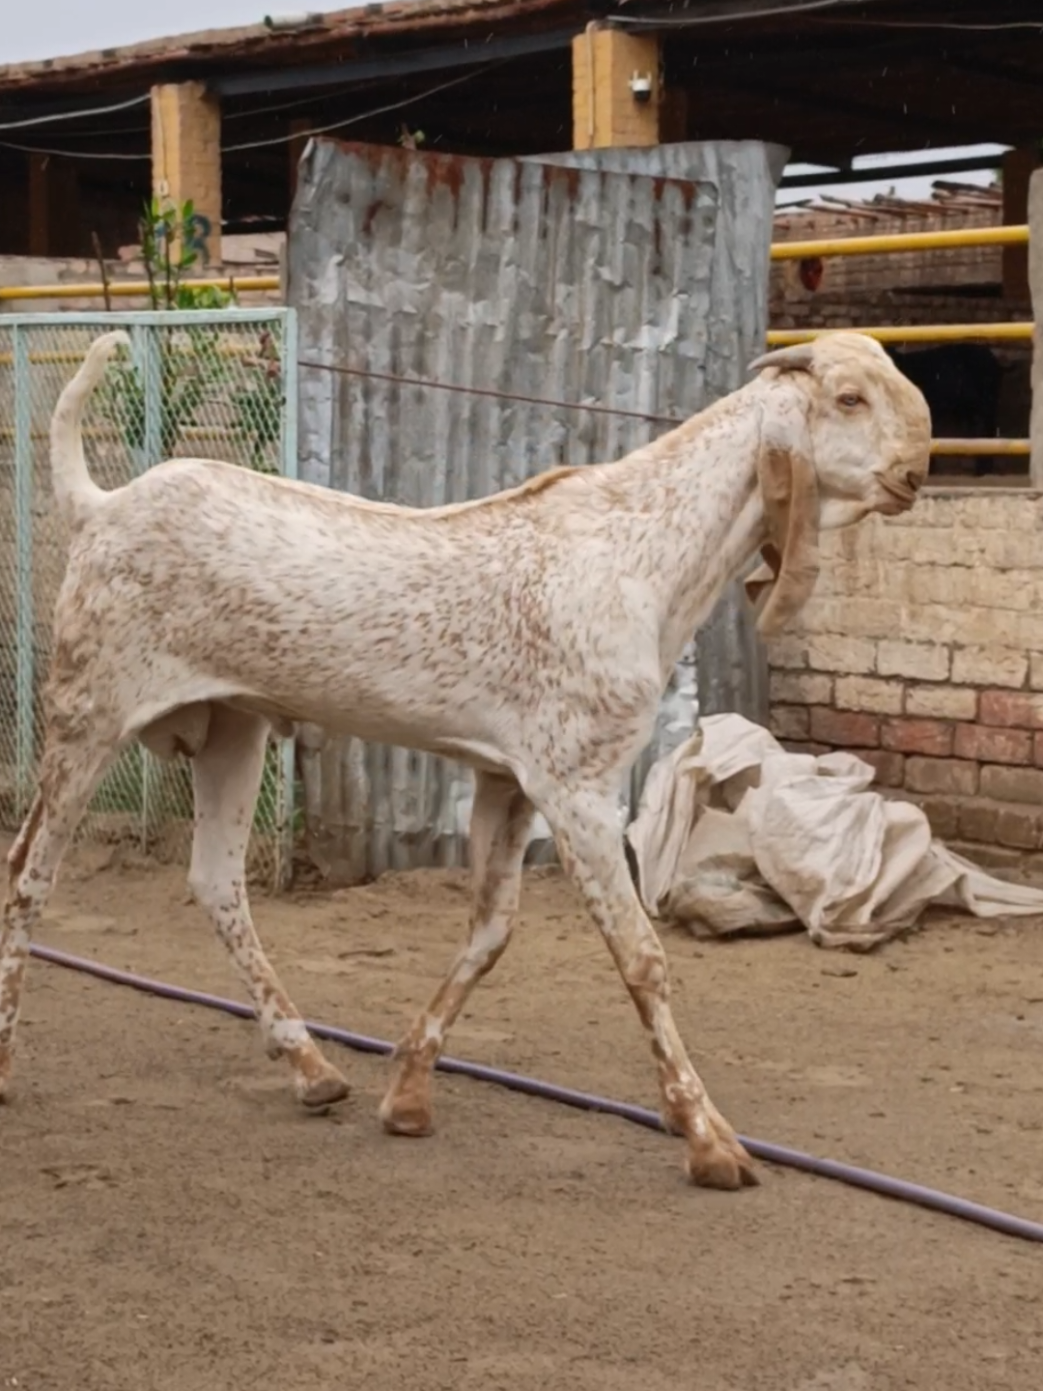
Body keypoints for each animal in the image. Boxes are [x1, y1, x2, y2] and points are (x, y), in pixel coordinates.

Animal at [0, 329, 929, 1191]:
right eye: (848, 398)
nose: (916, 472)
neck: (643, 551)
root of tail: (99, 504)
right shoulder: (576, 783)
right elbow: (641, 956)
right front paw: (708, 1138)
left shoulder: (506, 780)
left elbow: (490, 931)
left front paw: (407, 1092)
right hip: (89, 709)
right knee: (29, 872)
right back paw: (11, 1062)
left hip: (234, 725)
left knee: (216, 882)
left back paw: (311, 1066)